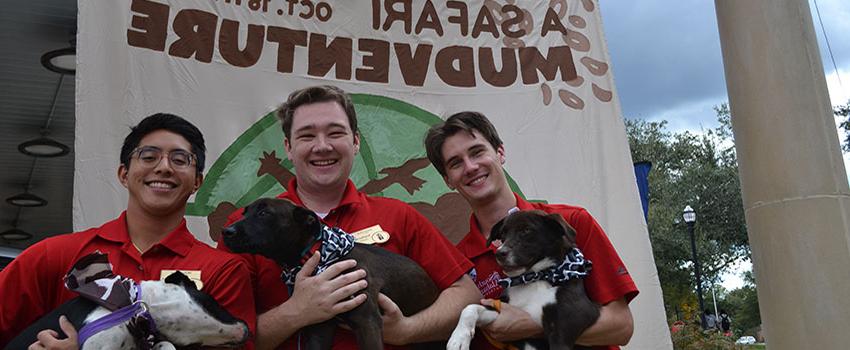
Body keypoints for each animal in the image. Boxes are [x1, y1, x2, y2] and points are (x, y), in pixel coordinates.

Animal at [222, 198, 440, 348]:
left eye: (264, 212)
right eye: (244, 213)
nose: (226, 231)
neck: (317, 254)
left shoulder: (367, 322)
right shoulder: (319, 328)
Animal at [448, 211, 600, 350]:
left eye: (526, 230)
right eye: (503, 235)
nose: (499, 253)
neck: (534, 279)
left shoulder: (573, 318)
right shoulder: (502, 308)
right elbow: (470, 308)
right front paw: (458, 338)